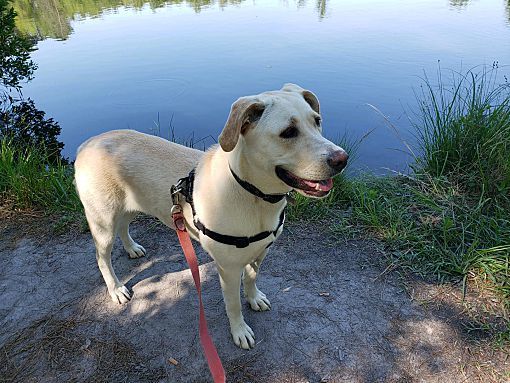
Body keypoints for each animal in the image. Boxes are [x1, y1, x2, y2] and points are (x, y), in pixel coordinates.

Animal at [74, 84, 346, 352]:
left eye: (317, 121)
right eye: (288, 132)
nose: (342, 159)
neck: (254, 195)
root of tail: (86, 144)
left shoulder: (260, 252)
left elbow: (252, 280)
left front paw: (254, 298)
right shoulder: (229, 269)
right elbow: (233, 304)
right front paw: (239, 331)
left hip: (130, 206)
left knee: (124, 227)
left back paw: (131, 248)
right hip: (103, 222)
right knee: (102, 258)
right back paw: (116, 289)